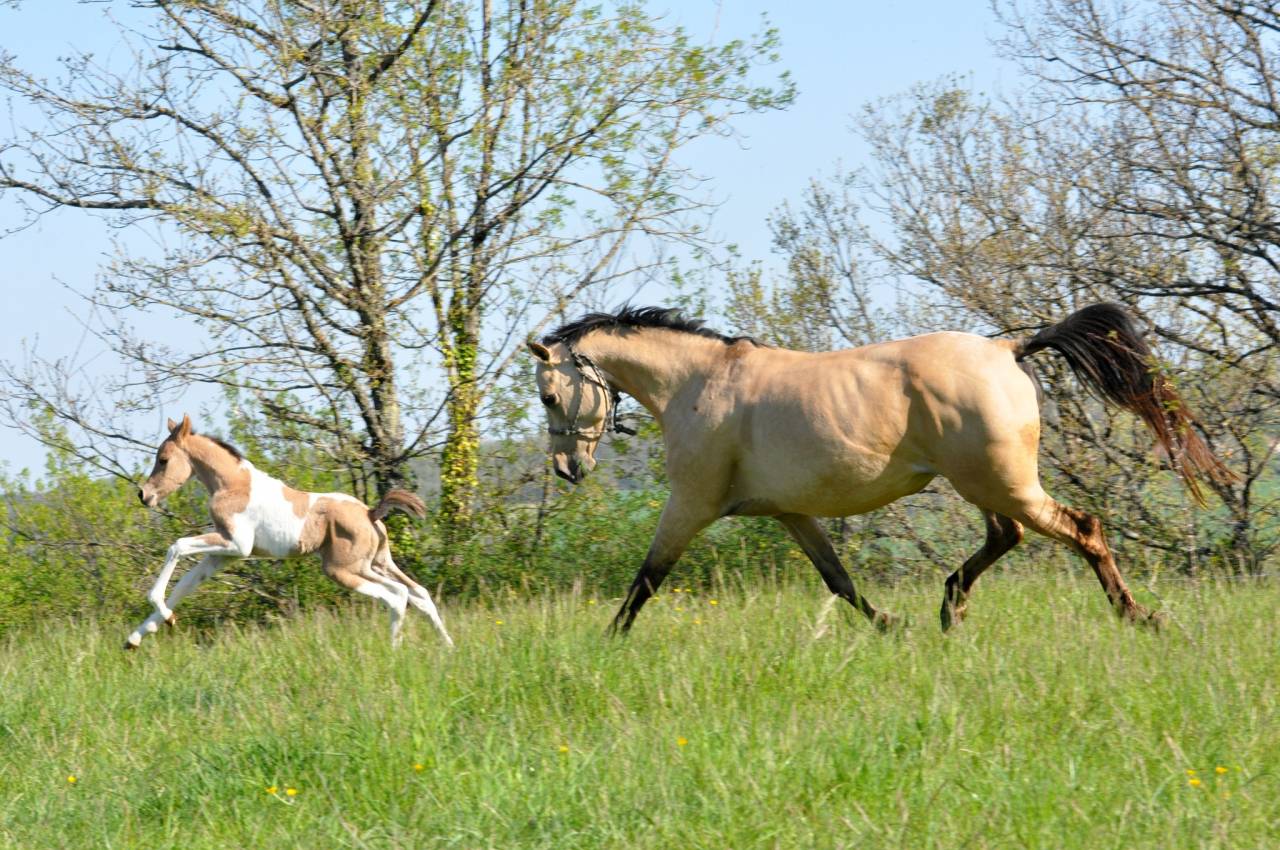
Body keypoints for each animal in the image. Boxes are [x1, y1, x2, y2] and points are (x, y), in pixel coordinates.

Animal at [130, 415, 453, 649]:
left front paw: (163, 616)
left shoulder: (236, 545)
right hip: (378, 563)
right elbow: (186, 584)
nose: (144, 495)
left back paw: (395, 650)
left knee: (396, 595)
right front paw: (138, 636)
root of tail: (370, 512)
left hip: (344, 569)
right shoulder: (225, 555)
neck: (233, 485)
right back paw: (447, 646)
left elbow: (177, 546)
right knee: (419, 593)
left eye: (164, 459)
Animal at [526, 303, 1232, 634]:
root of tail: (1009, 348)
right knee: (1007, 537)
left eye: (549, 395)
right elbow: (838, 579)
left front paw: (606, 644)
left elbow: (646, 580)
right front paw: (892, 625)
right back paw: (949, 609)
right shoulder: (791, 513)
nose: (567, 469)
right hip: (984, 484)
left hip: (1002, 483)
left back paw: (1138, 616)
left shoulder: (691, 506)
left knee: (1083, 529)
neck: (700, 385)